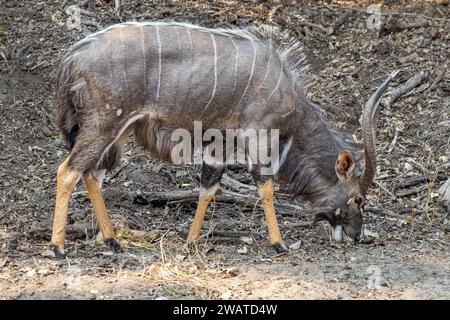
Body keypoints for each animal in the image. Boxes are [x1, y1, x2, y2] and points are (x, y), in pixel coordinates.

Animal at [51, 21, 392, 258]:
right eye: (358, 199)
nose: (356, 235)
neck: (286, 91)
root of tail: (73, 58)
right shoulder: (258, 134)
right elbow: (265, 185)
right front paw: (279, 244)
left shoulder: (221, 143)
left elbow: (209, 185)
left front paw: (190, 242)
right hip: (104, 124)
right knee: (68, 170)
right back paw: (58, 248)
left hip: (117, 131)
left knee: (92, 173)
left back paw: (113, 241)